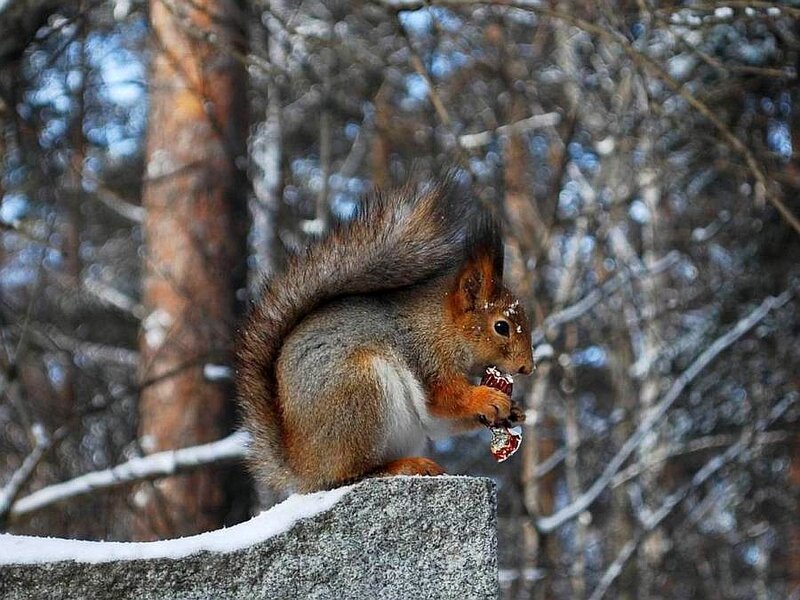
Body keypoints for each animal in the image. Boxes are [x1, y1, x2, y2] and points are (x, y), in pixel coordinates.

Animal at [236, 176, 534, 493]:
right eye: (501, 327)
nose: (528, 367)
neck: (444, 328)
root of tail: (303, 468)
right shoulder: (426, 356)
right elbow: (444, 401)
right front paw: (487, 398)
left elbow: (441, 422)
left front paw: (514, 411)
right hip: (359, 393)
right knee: (353, 472)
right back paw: (404, 466)